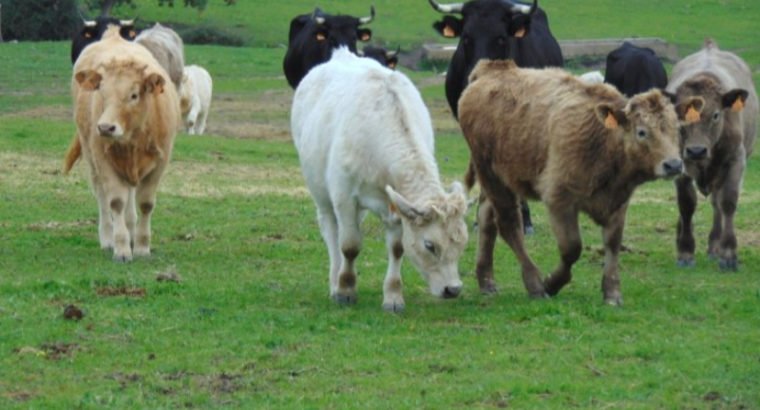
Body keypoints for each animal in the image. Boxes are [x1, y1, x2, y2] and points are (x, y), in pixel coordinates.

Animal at [63, 26, 180, 262]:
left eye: (134, 95)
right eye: (102, 92)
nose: (106, 127)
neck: (132, 137)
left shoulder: (161, 161)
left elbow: (145, 203)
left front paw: (142, 246)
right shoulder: (103, 159)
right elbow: (116, 201)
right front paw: (122, 249)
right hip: (91, 155)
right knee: (102, 195)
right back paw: (108, 238)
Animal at [290, 47, 470, 310]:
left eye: (463, 242)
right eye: (430, 245)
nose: (453, 289)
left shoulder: (395, 206)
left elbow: (396, 248)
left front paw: (393, 297)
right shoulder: (344, 196)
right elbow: (349, 245)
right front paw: (345, 290)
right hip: (320, 191)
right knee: (331, 231)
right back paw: (334, 280)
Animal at [458, 60, 684, 304]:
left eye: (677, 129)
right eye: (642, 132)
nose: (673, 165)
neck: (602, 140)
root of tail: (493, 68)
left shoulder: (618, 202)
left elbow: (613, 244)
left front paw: (612, 291)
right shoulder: (559, 200)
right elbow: (571, 248)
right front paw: (552, 283)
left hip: (500, 179)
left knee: (486, 219)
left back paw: (486, 280)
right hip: (491, 176)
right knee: (509, 226)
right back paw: (534, 284)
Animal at [668, 37, 756, 270]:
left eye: (716, 115)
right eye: (679, 115)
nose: (696, 150)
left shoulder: (735, 161)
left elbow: (727, 202)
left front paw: (728, 254)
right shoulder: (681, 165)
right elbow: (686, 204)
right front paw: (685, 251)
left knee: (717, 203)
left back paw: (714, 245)